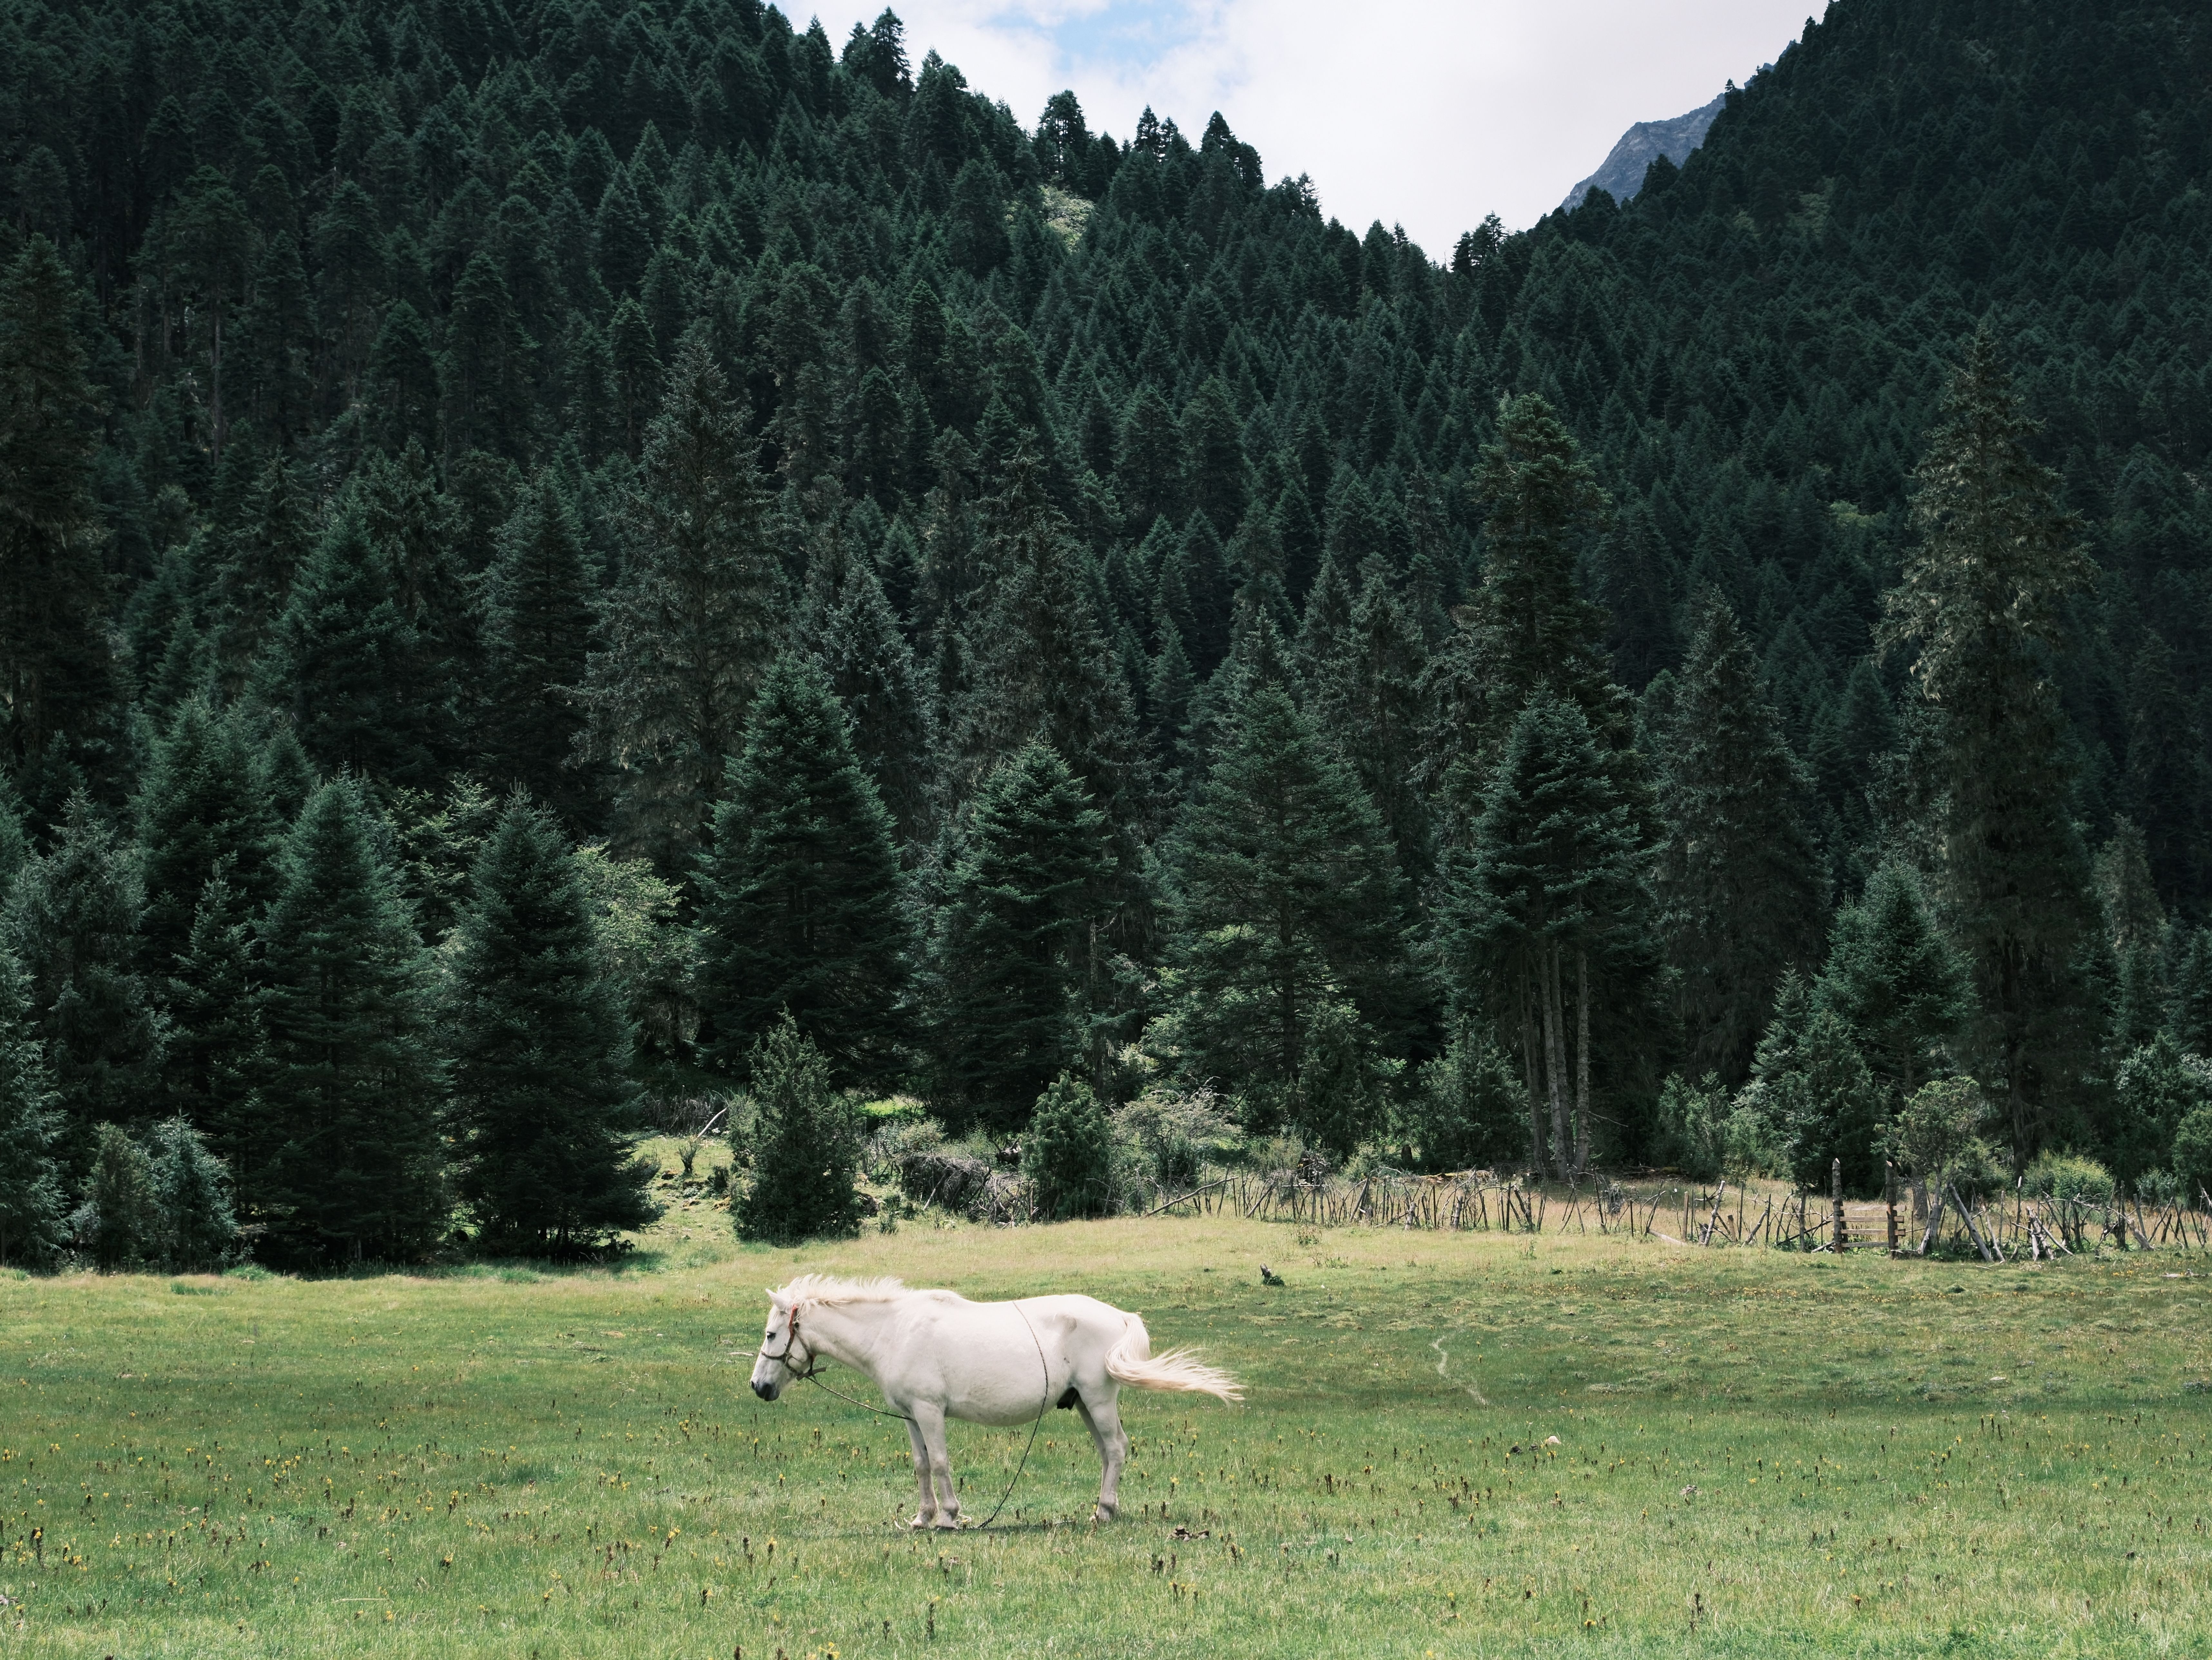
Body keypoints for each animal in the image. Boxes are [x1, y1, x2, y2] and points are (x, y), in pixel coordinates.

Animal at [748, 1275, 1241, 1528]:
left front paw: (949, 1518)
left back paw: (1104, 1511)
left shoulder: (930, 1411)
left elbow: (941, 1463)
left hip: (1099, 1400)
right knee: (1108, 1452)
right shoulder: (911, 1416)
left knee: (1117, 1449)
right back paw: (1105, 1507)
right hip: (1084, 1403)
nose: (758, 1387)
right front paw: (923, 1517)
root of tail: (1119, 1315)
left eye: (771, 1335)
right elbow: (922, 1465)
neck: (894, 1331)